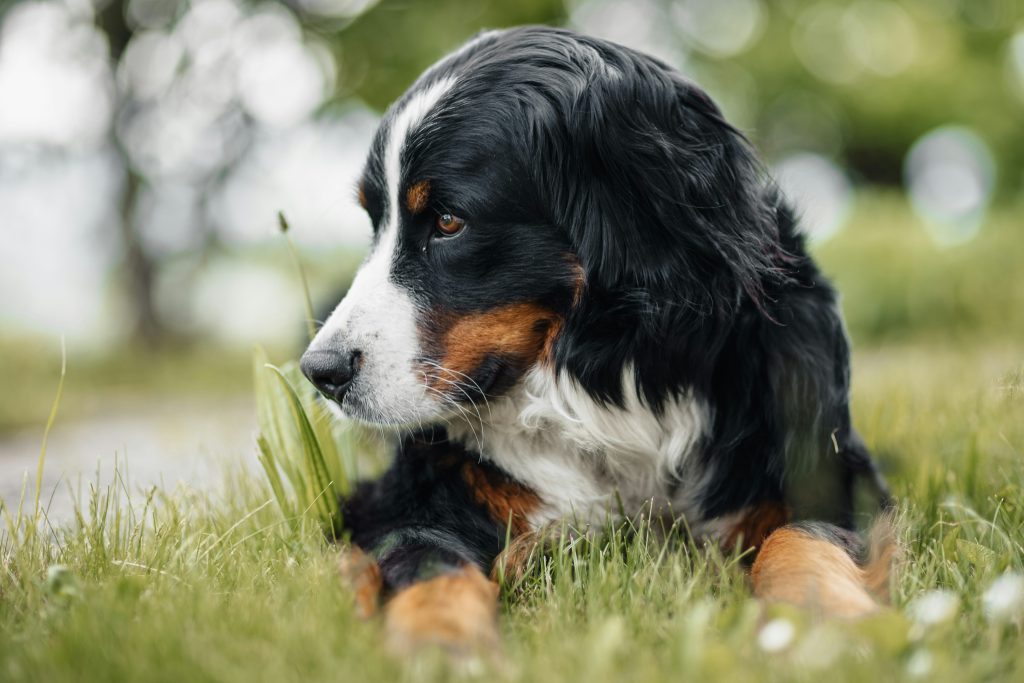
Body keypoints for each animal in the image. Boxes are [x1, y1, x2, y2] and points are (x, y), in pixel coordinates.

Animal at [299, 25, 892, 651]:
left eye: (448, 221)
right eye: (374, 222)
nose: (321, 372)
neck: (611, 376)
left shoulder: (824, 468)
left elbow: (802, 537)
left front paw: (830, 619)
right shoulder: (400, 498)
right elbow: (430, 560)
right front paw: (442, 642)